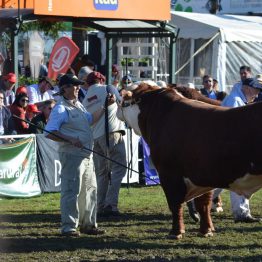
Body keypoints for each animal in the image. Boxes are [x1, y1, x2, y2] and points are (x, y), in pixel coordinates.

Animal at [117, 83, 262, 239]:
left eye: (123, 99)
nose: (117, 108)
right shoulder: (203, 174)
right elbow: (203, 204)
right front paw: (206, 230)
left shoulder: (169, 173)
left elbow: (175, 203)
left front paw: (176, 232)